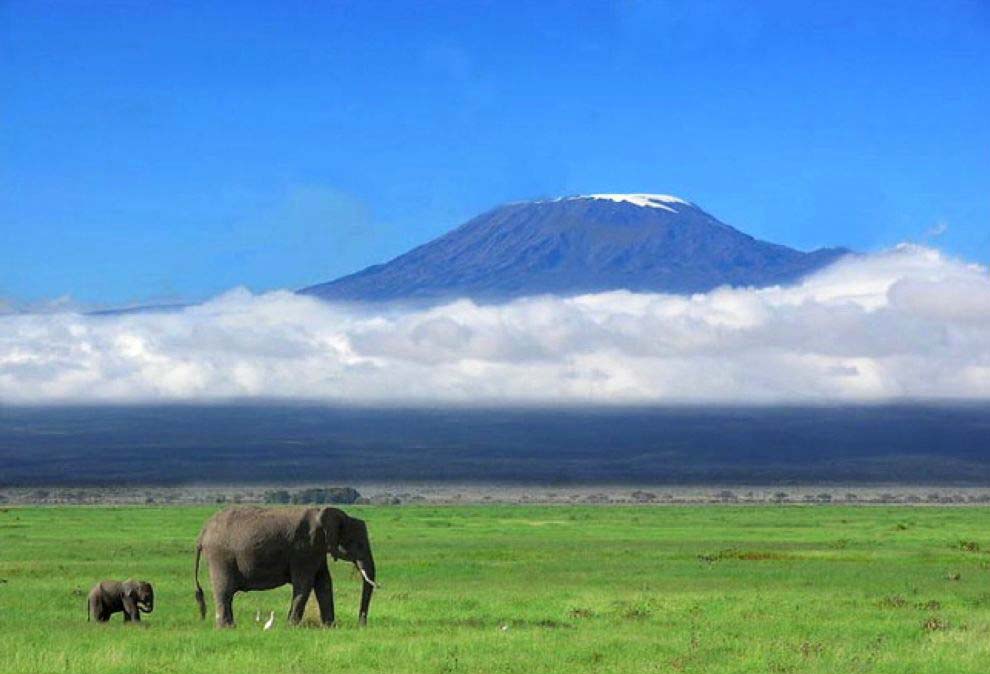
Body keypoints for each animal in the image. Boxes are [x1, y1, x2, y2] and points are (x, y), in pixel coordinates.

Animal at [195, 506, 380, 628]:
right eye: (358, 544)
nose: (361, 624)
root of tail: (203, 532)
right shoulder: (304, 548)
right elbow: (304, 585)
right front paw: (291, 627)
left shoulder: (317, 550)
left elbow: (324, 584)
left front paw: (330, 627)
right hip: (220, 556)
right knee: (225, 590)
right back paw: (227, 628)